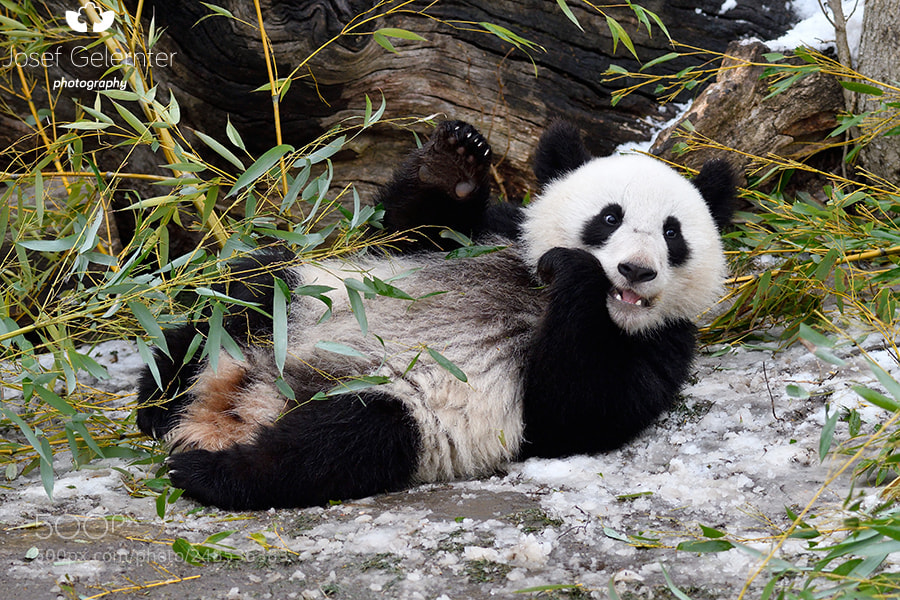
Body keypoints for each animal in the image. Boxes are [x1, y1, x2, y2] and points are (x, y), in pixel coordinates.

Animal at [136, 120, 736, 510]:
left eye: (672, 233)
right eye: (610, 217)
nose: (635, 271)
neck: (535, 289)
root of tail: (246, 402)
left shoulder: (663, 342)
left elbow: (578, 406)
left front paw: (579, 275)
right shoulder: (494, 231)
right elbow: (409, 229)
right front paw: (456, 161)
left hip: (413, 411)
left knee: (342, 443)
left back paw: (208, 471)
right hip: (306, 302)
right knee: (245, 295)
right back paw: (158, 400)